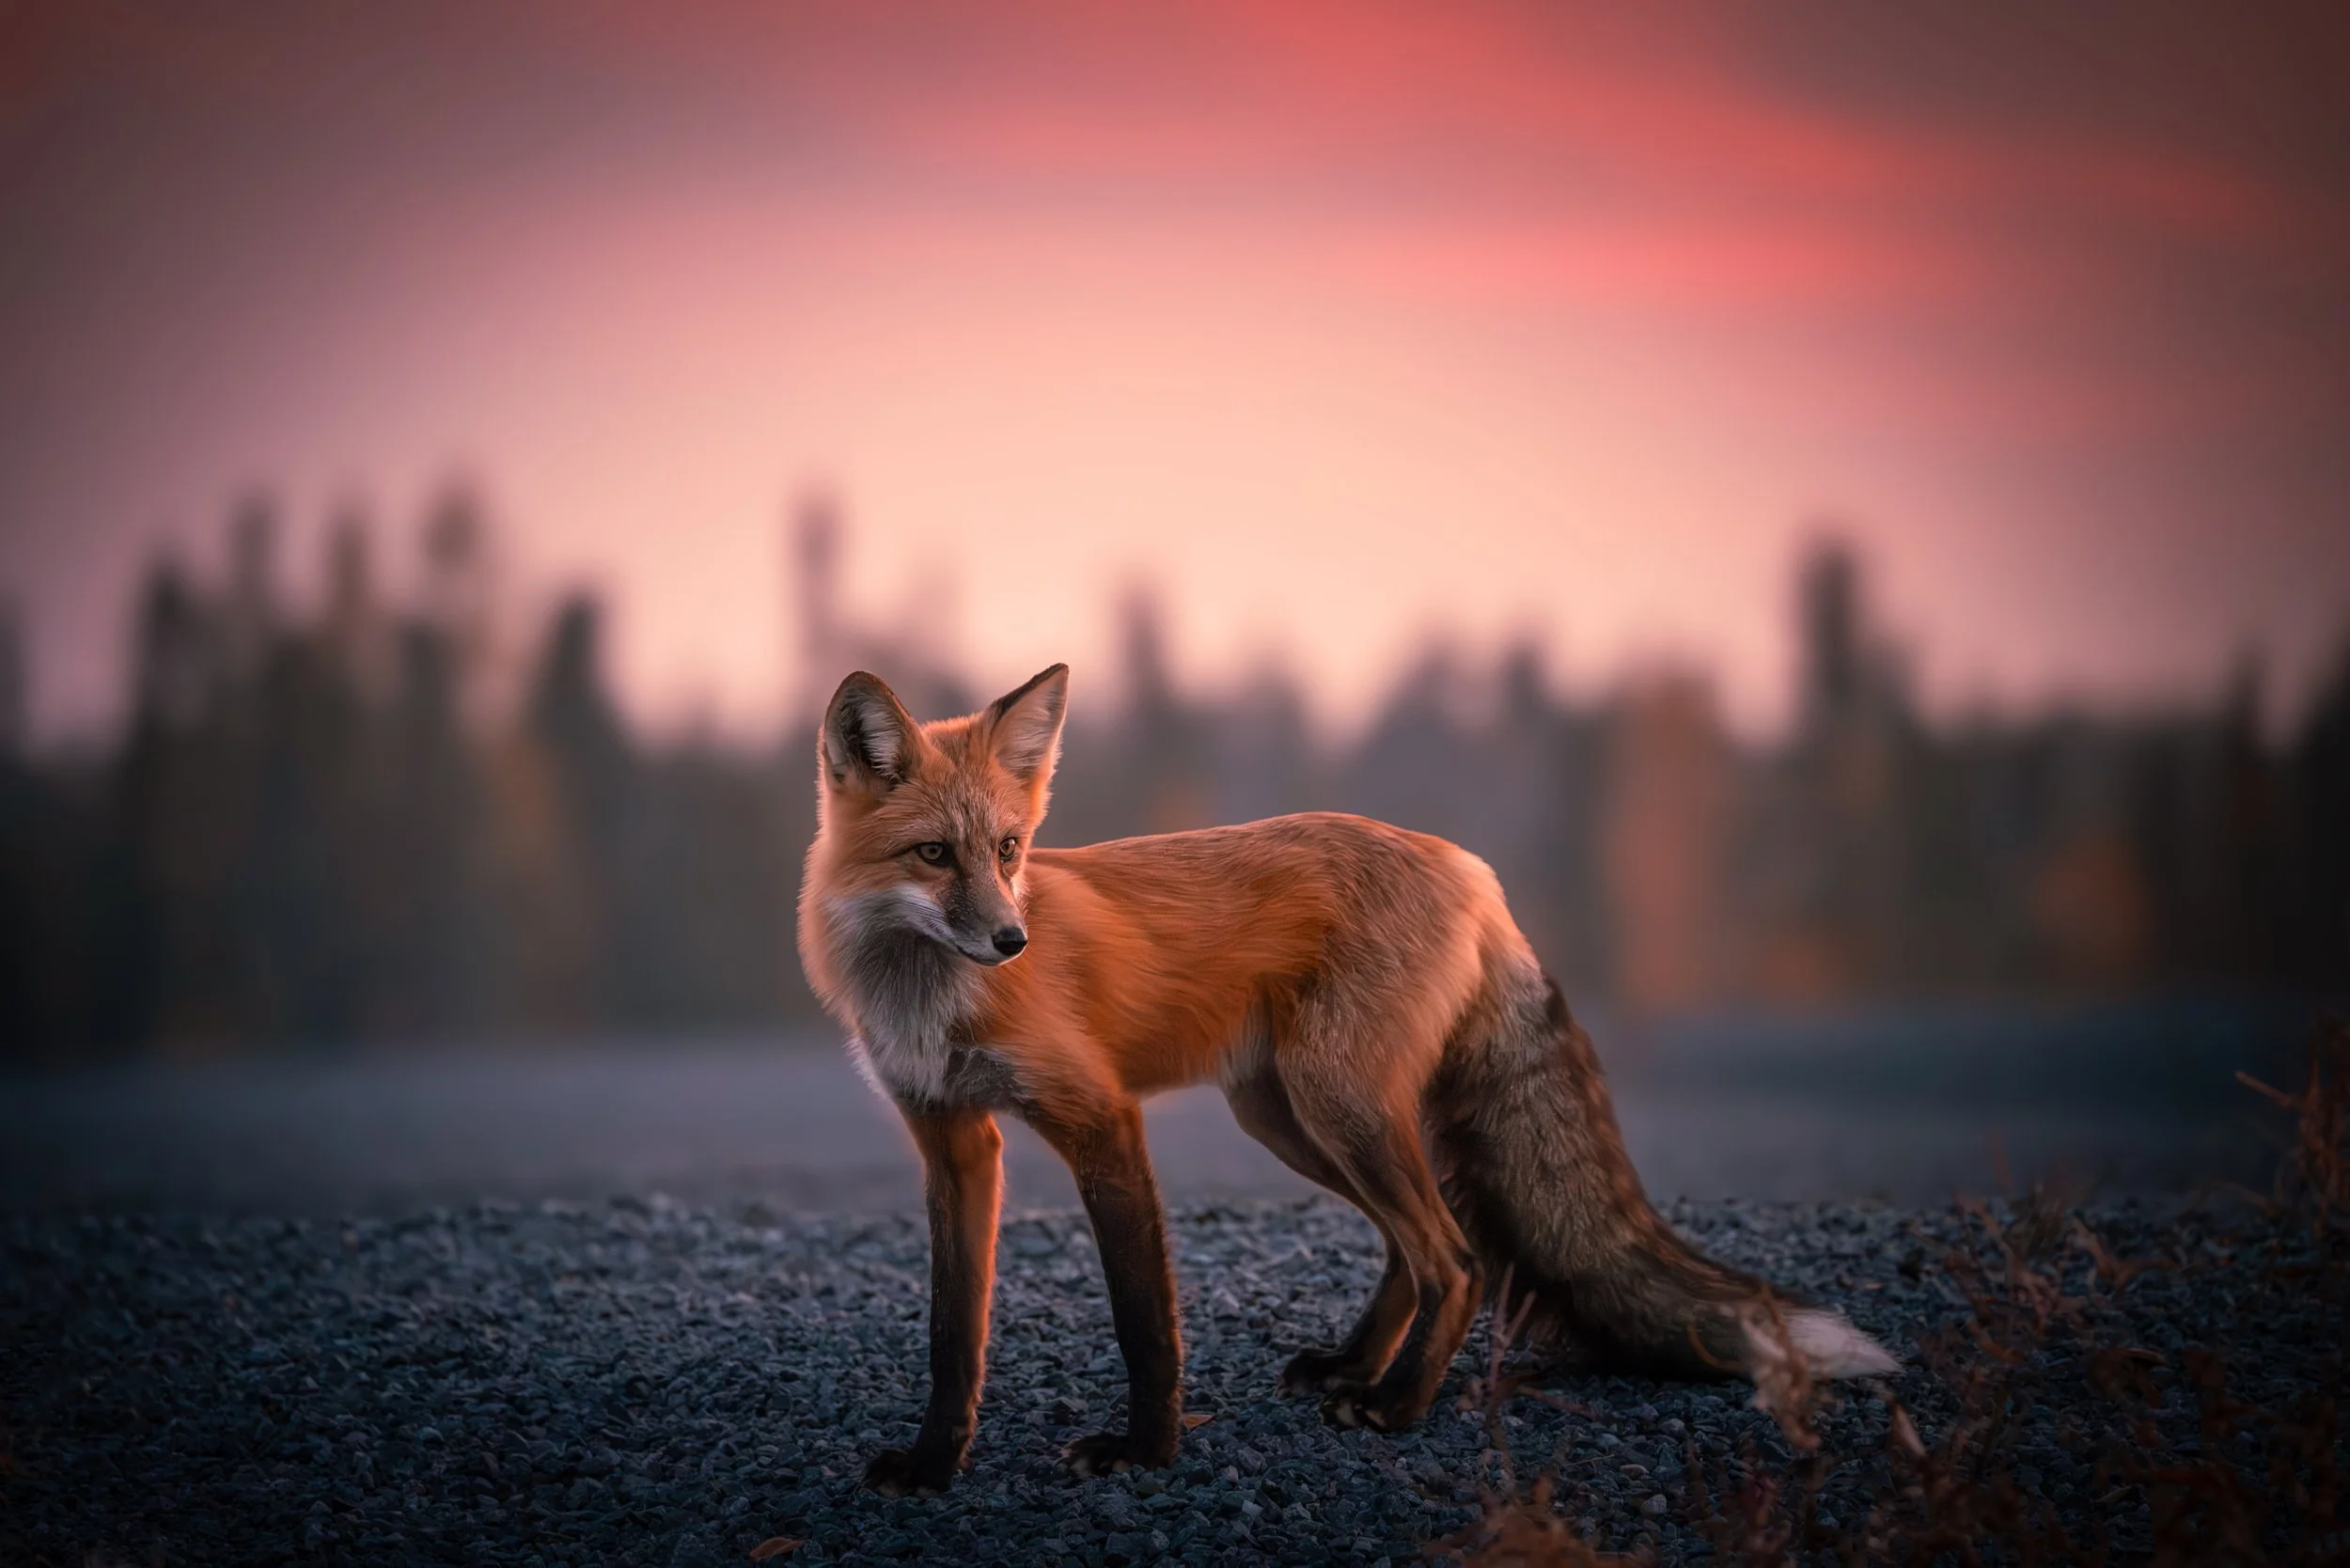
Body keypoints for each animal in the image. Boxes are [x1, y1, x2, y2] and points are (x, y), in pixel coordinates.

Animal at [797, 663, 1897, 1496]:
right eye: (934, 855)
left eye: (1010, 849)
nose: (1012, 940)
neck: (928, 1000)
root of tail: (1470, 868)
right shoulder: (952, 1141)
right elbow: (953, 1334)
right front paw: (935, 1465)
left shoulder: (1100, 1119)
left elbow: (1144, 1321)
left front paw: (1145, 1453)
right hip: (1288, 1115)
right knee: (1414, 1251)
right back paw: (1359, 1367)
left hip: (1334, 1103)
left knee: (1455, 1256)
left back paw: (1396, 1406)